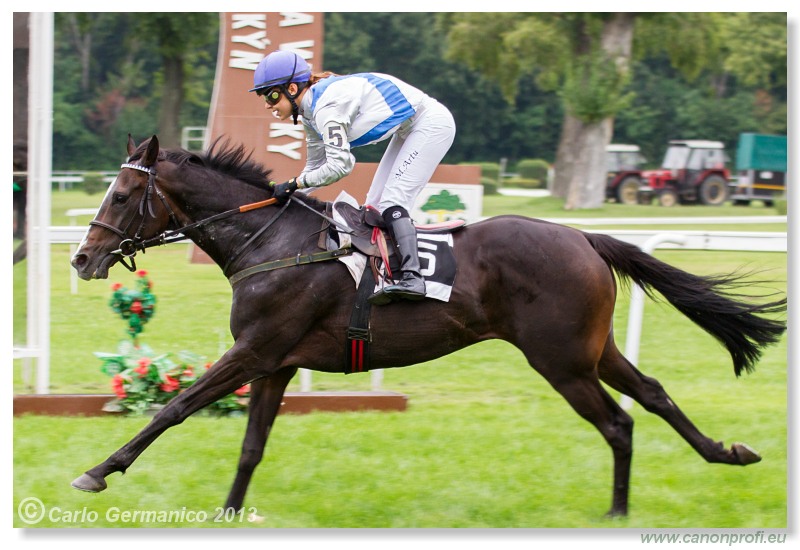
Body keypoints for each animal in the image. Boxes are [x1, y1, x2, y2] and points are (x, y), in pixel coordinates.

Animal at [70, 136, 788, 520]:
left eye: (123, 195)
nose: (82, 258)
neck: (273, 241)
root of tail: (584, 236)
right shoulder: (275, 361)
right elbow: (251, 445)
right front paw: (227, 513)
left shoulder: (254, 350)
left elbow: (175, 407)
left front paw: (99, 471)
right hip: (592, 348)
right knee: (655, 395)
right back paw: (725, 453)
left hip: (560, 359)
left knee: (617, 422)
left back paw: (616, 511)